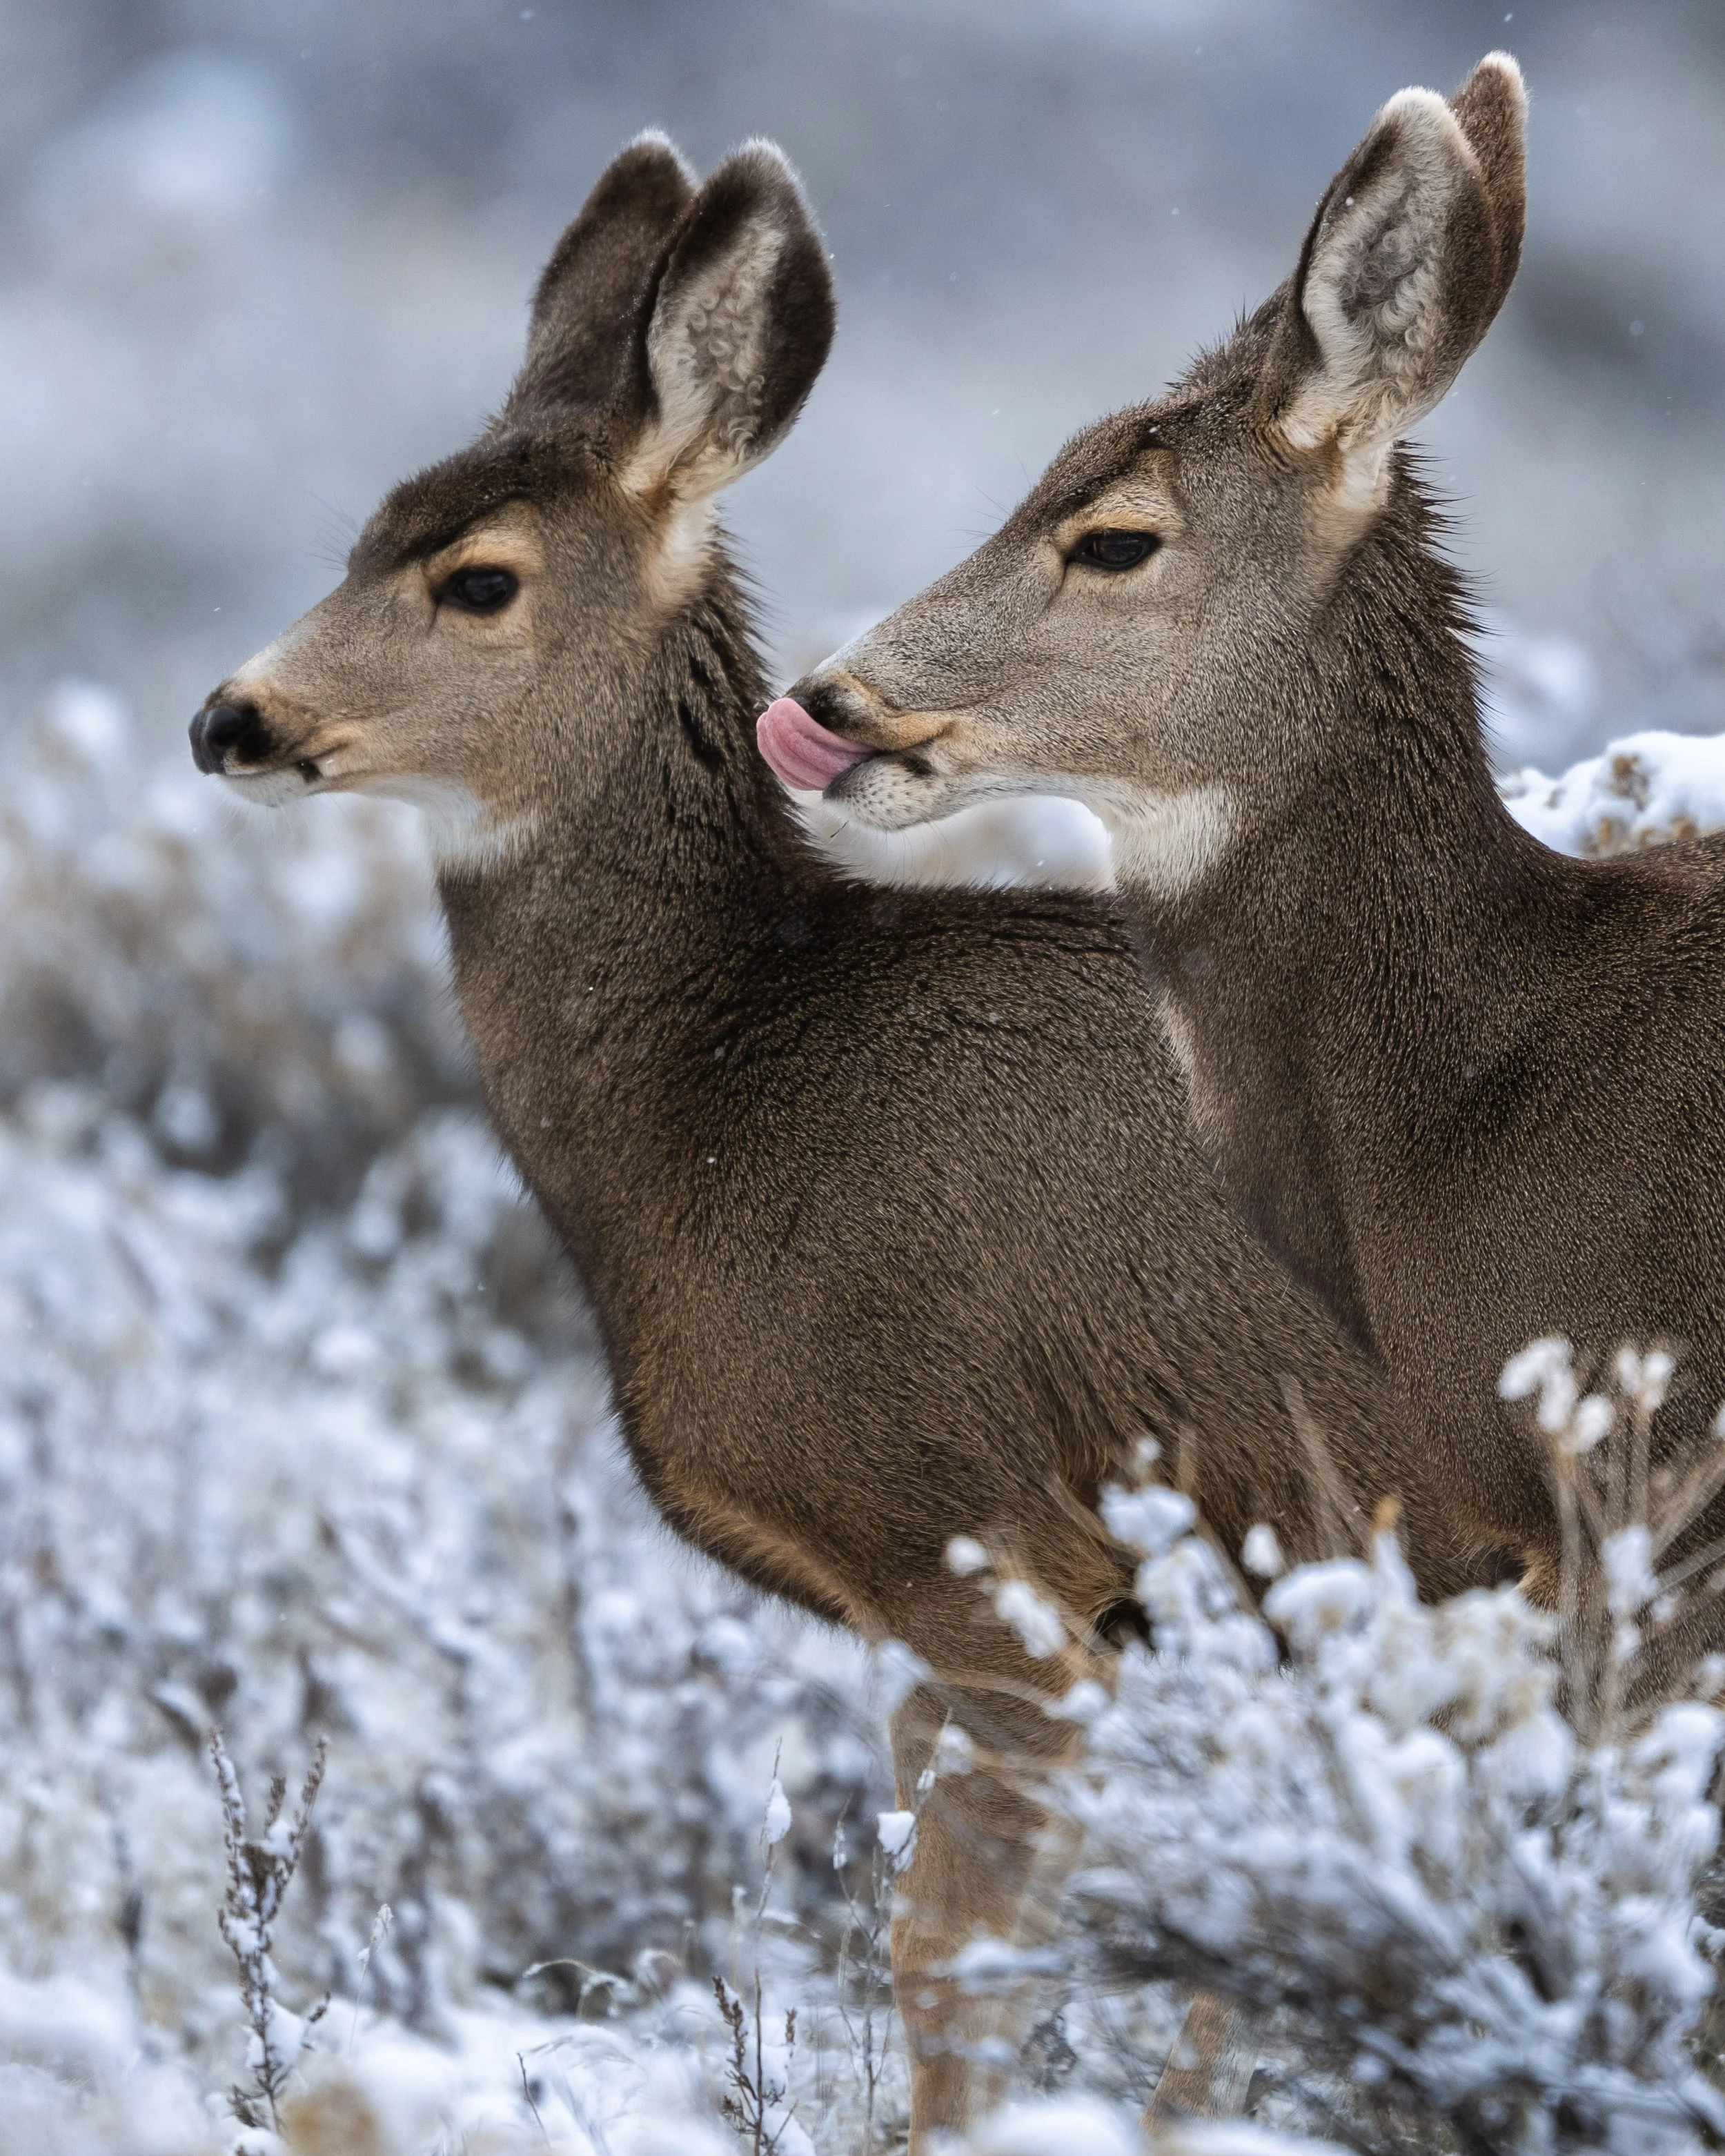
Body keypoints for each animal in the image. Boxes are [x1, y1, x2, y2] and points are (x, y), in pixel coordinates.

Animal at [188, 132, 1486, 2144]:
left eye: (475, 576)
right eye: (361, 528)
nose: (228, 717)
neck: (726, 1100)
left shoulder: (981, 1534)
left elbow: (948, 1959)